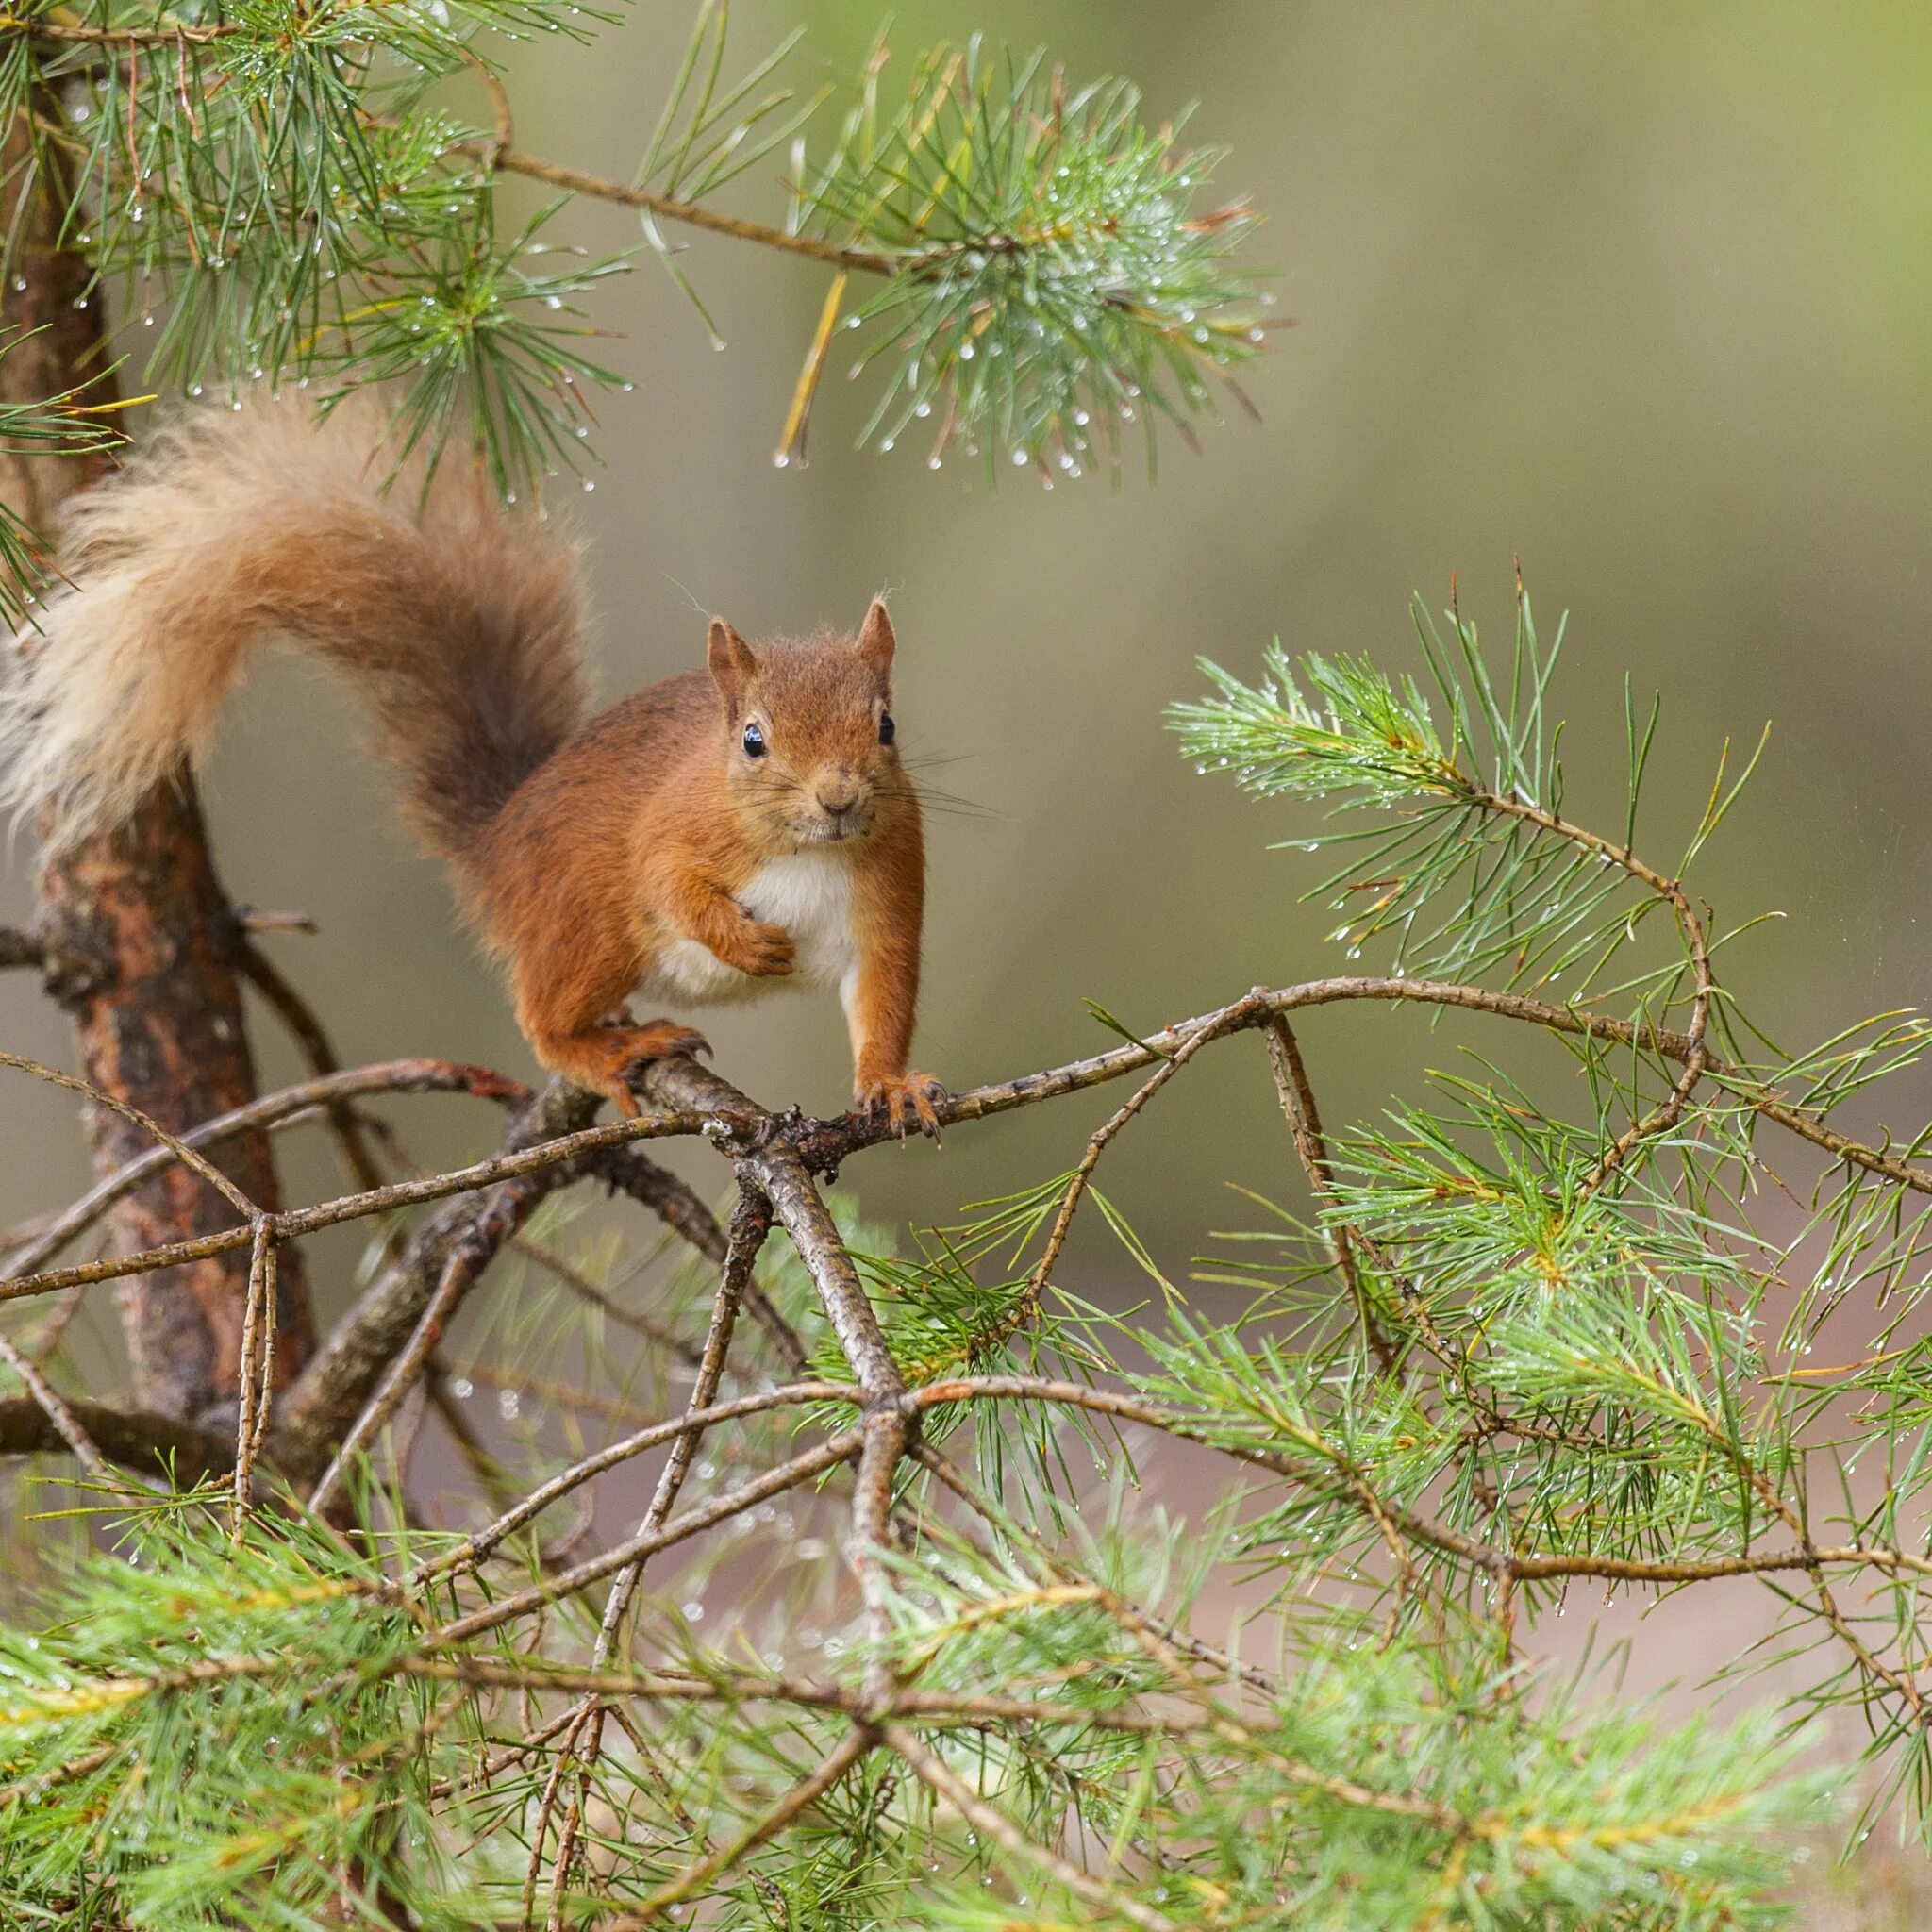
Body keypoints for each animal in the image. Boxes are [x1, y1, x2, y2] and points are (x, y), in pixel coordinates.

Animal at [0, 404, 946, 1128]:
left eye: (887, 725)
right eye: (752, 740)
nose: (837, 797)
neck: (805, 851)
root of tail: (498, 833)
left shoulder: (888, 893)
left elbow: (885, 998)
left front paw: (892, 1085)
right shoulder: (673, 826)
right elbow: (670, 881)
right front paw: (740, 940)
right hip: (586, 924)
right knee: (543, 1017)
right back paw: (609, 1050)